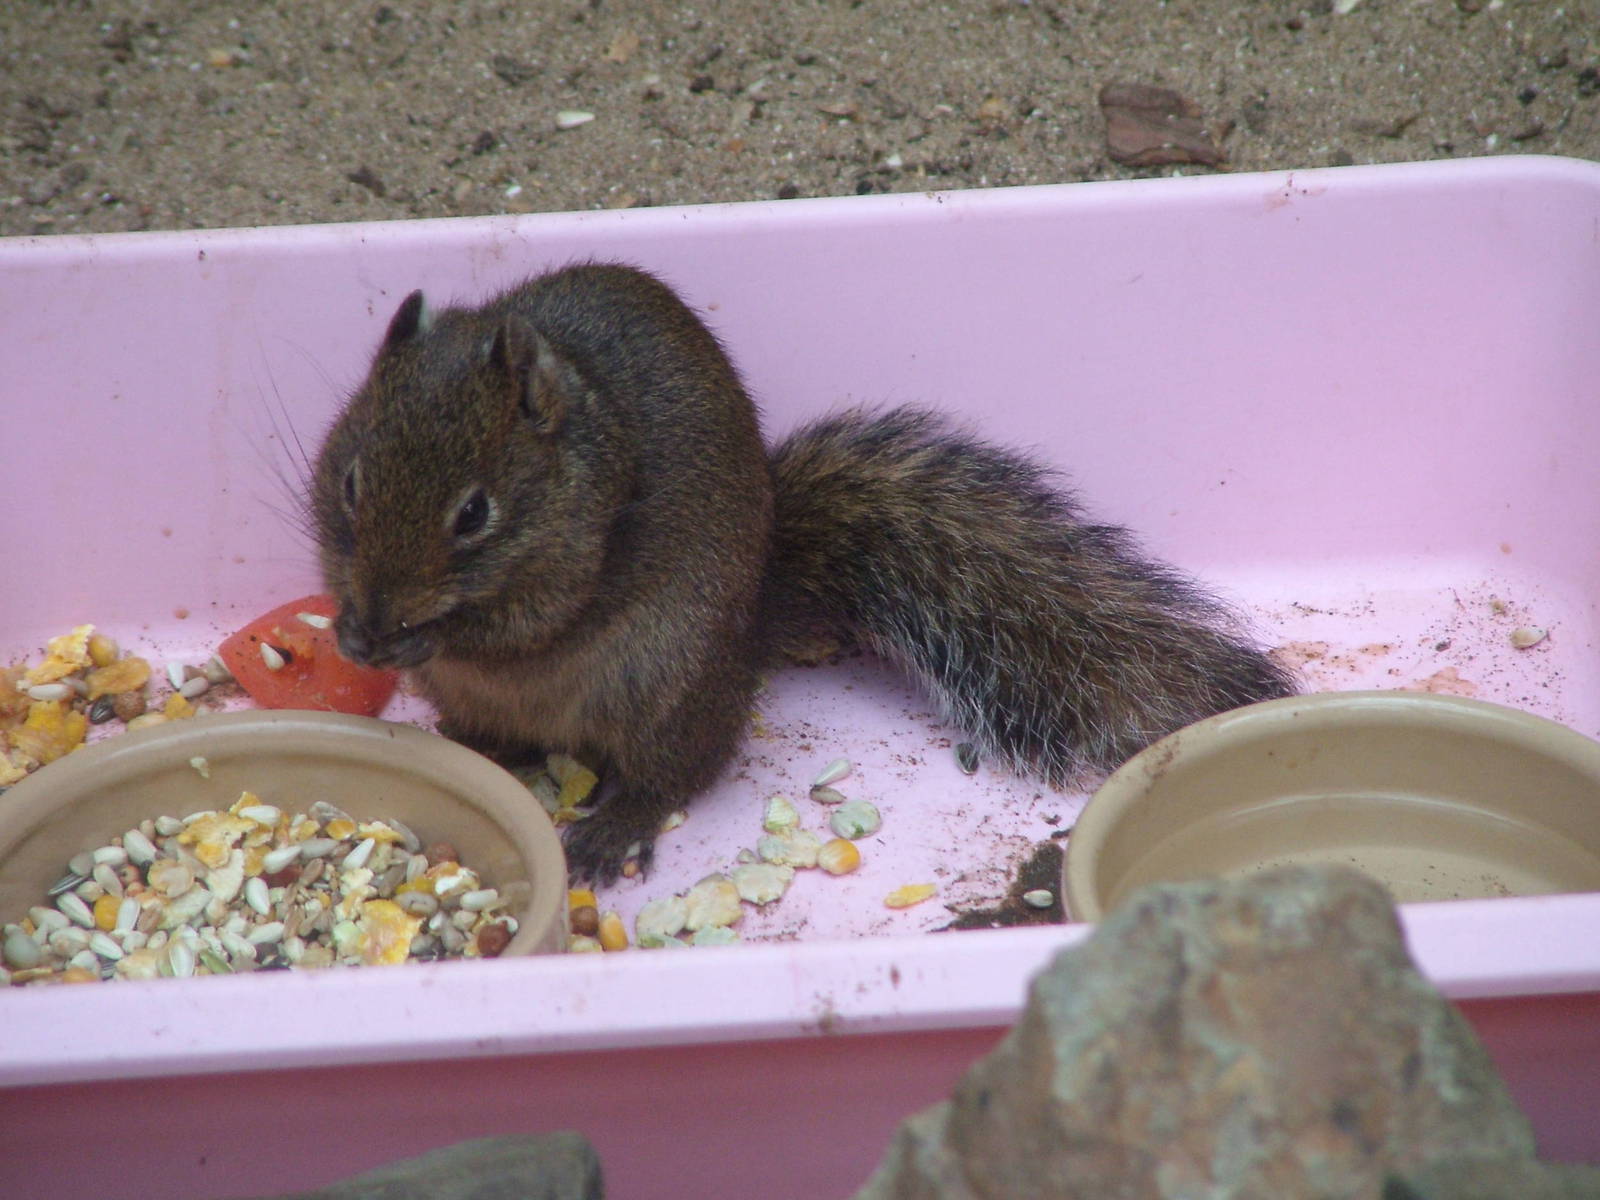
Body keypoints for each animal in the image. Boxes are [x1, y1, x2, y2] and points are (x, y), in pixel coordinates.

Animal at [310, 262, 1296, 885]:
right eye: (349, 479)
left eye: (474, 514)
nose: (379, 617)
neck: (575, 450)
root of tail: (752, 626)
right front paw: (351, 629)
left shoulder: (581, 556)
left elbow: (527, 623)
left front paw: (422, 631)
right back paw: (472, 745)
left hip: (671, 688)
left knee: (672, 775)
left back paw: (615, 825)